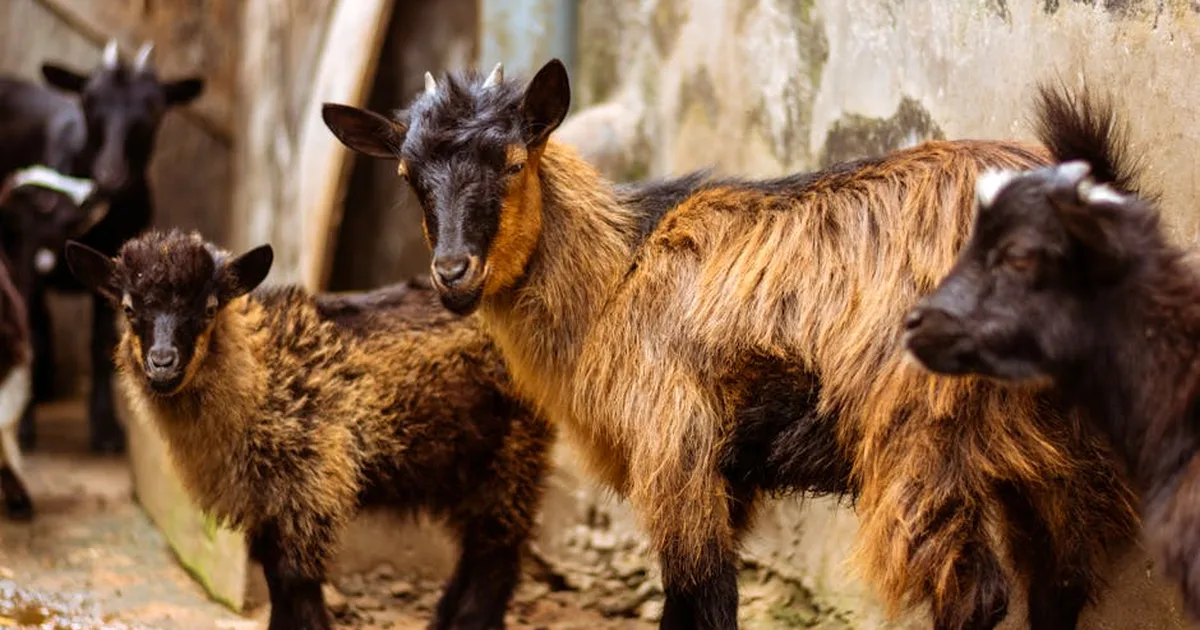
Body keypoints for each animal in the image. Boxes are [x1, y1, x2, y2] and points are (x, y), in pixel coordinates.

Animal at [0, 38, 205, 453]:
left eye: (154, 106)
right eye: (89, 100)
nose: (111, 176)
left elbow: (99, 343)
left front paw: (107, 429)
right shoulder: (26, 250)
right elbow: (31, 331)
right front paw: (25, 430)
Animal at [64, 229, 553, 630]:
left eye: (208, 308)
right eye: (129, 309)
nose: (162, 363)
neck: (264, 374)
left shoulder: (312, 480)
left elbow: (295, 577)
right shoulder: (264, 500)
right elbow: (275, 578)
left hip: (515, 448)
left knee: (498, 545)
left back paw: (472, 621)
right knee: (479, 544)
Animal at [321, 60, 1137, 629]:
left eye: (514, 163)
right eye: (409, 175)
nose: (453, 272)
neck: (617, 274)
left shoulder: (675, 446)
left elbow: (701, 599)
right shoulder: (730, 475)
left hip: (922, 439)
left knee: (974, 595)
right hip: (1058, 443)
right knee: (1061, 580)